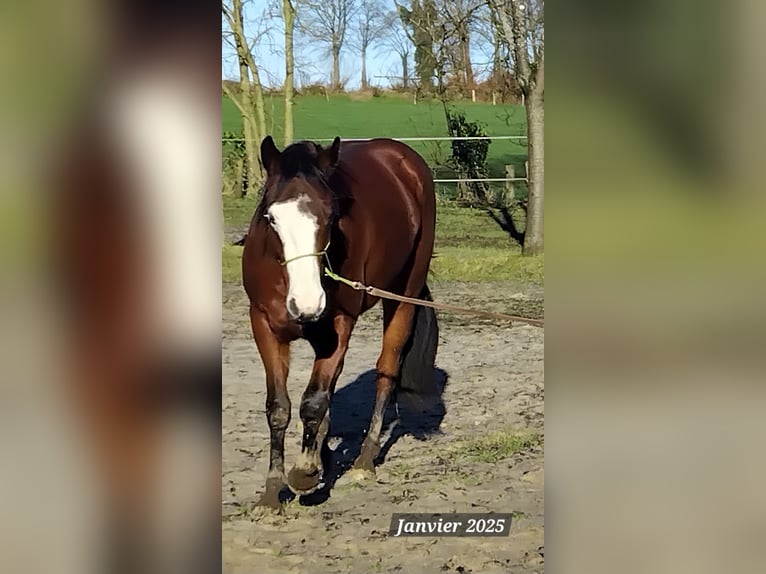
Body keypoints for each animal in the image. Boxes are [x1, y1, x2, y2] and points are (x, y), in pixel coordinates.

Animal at [242, 135, 440, 508]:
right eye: (271, 217)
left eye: (332, 215)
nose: (307, 304)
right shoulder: (264, 325)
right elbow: (279, 407)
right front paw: (273, 490)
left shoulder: (339, 325)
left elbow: (313, 402)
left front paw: (304, 472)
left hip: (402, 295)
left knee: (386, 370)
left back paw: (363, 460)